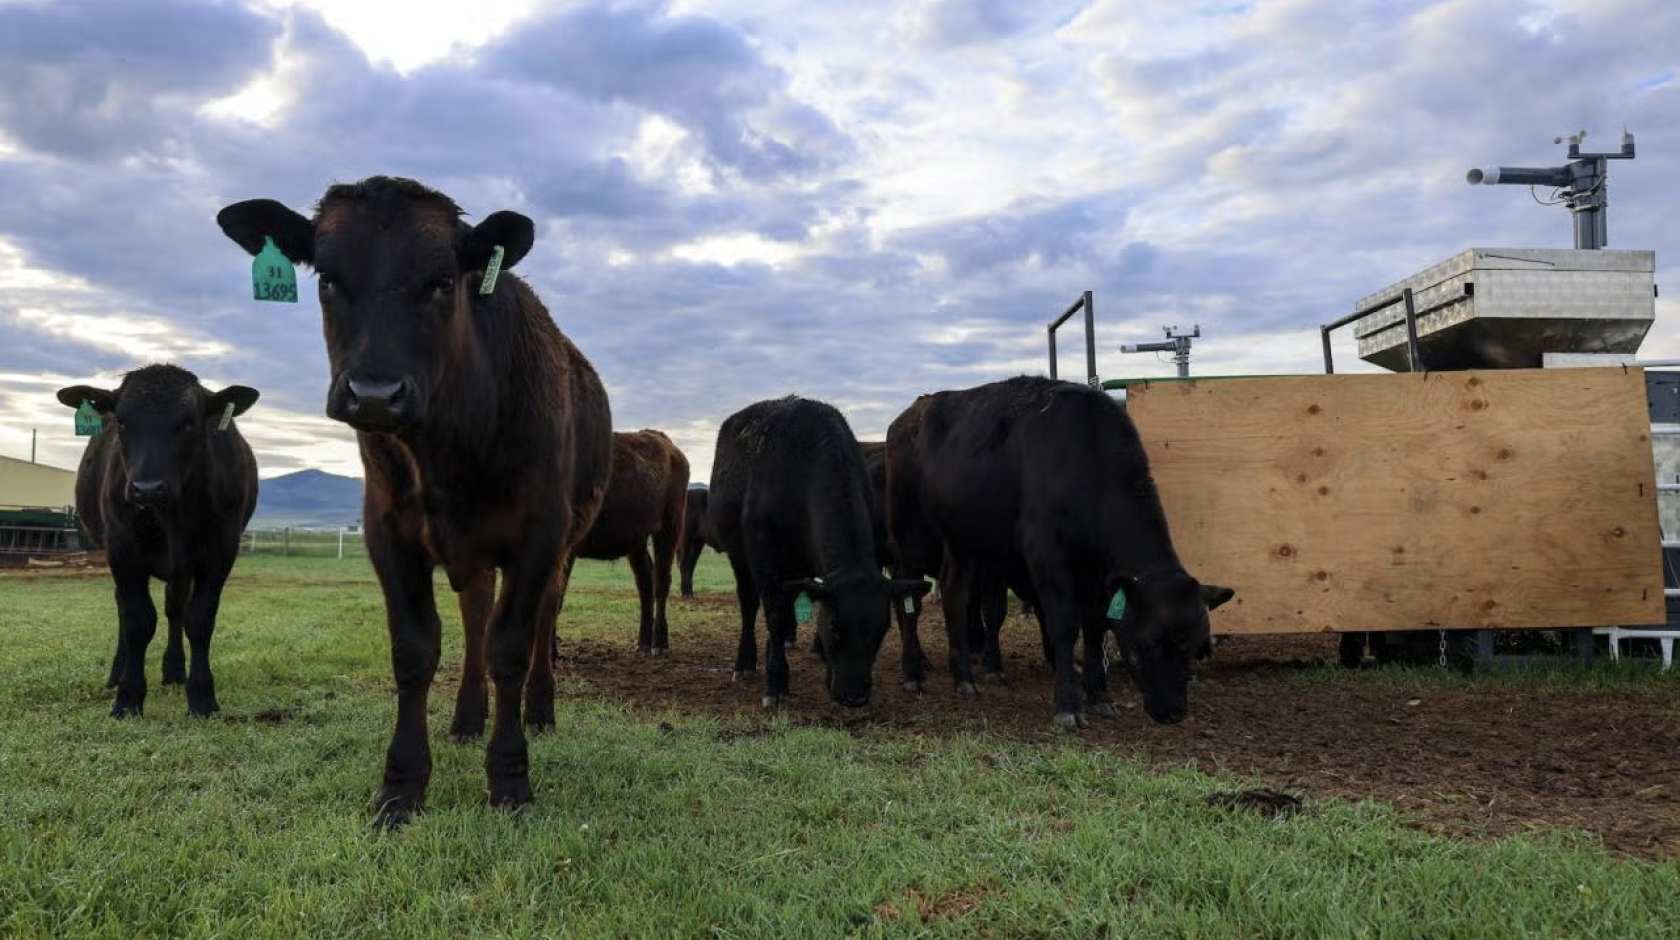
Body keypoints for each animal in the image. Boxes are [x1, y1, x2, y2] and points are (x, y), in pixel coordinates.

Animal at [54, 364, 257, 715]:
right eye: (122, 422)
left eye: (189, 422)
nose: (147, 489)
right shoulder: (122, 548)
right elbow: (138, 621)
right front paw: (128, 697)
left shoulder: (221, 549)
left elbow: (199, 620)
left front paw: (202, 696)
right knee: (124, 608)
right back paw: (117, 673)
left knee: (175, 609)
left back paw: (174, 669)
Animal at [215, 176, 611, 829]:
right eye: (326, 277)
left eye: (444, 280)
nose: (375, 393)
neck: (449, 449)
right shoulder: (389, 535)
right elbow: (415, 651)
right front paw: (401, 787)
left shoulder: (538, 536)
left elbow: (511, 648)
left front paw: (509, 780)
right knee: (476, 614)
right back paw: (467, 717)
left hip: (564, 542)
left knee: (539, 620)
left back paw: (538, 711)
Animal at [557, 428, 688, 654]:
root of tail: (669, 445)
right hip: (636, 540)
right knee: (645, 579)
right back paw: (644, 642)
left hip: (669, 529)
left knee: (662, 581)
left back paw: (659, 643)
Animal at [702, 392, 927, 708]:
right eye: (834, 627)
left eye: (882, 630)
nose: (855, 695)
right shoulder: (764, 561)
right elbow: (773, 616)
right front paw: (775, 684)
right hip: (738, 554)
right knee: (749, 603)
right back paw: (745, 663)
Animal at [893, 374, 1223, 728]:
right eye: (1150, 641)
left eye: (1197, 646)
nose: (1172, 712)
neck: (1086, 454)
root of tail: (916, 409)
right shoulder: (1045, 552)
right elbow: (1064, 625)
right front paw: (1068, 705)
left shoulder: (1098, 570)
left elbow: (1096, 625)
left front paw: (1100, 697)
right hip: (908, 532)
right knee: (910, 597)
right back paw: (913, 673)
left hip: (964, 540)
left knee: (954, 593)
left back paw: (964, 678)